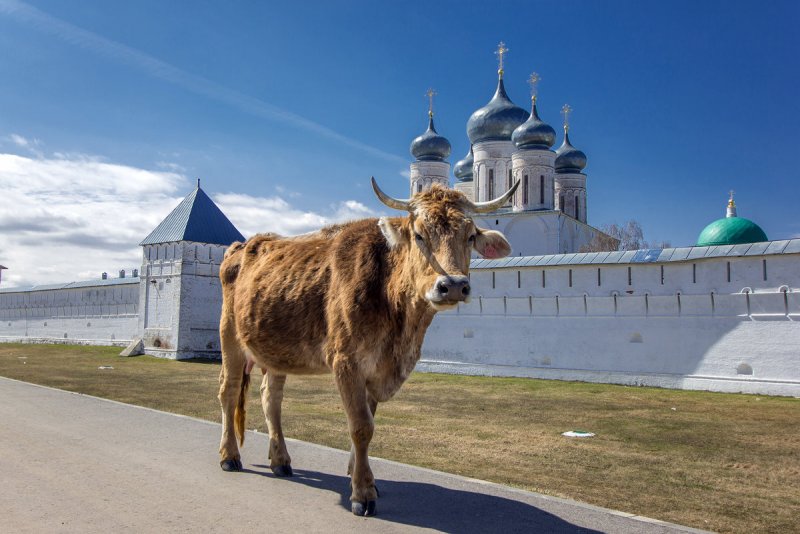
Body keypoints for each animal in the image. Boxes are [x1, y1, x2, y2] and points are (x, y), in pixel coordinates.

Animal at [219, 180, 520, 520]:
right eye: (419, 235)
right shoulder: (347, 362)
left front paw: (360, 476)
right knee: (228, 393)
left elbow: (369, 420)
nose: (453, 285)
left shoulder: (376, 369)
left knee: (271, 400)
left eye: (470, 236)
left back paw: (281, 460)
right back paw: (229, 456)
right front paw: (362, 493)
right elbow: (361, 426)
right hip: (230, 337)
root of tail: (244, 244)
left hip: (276, 350)